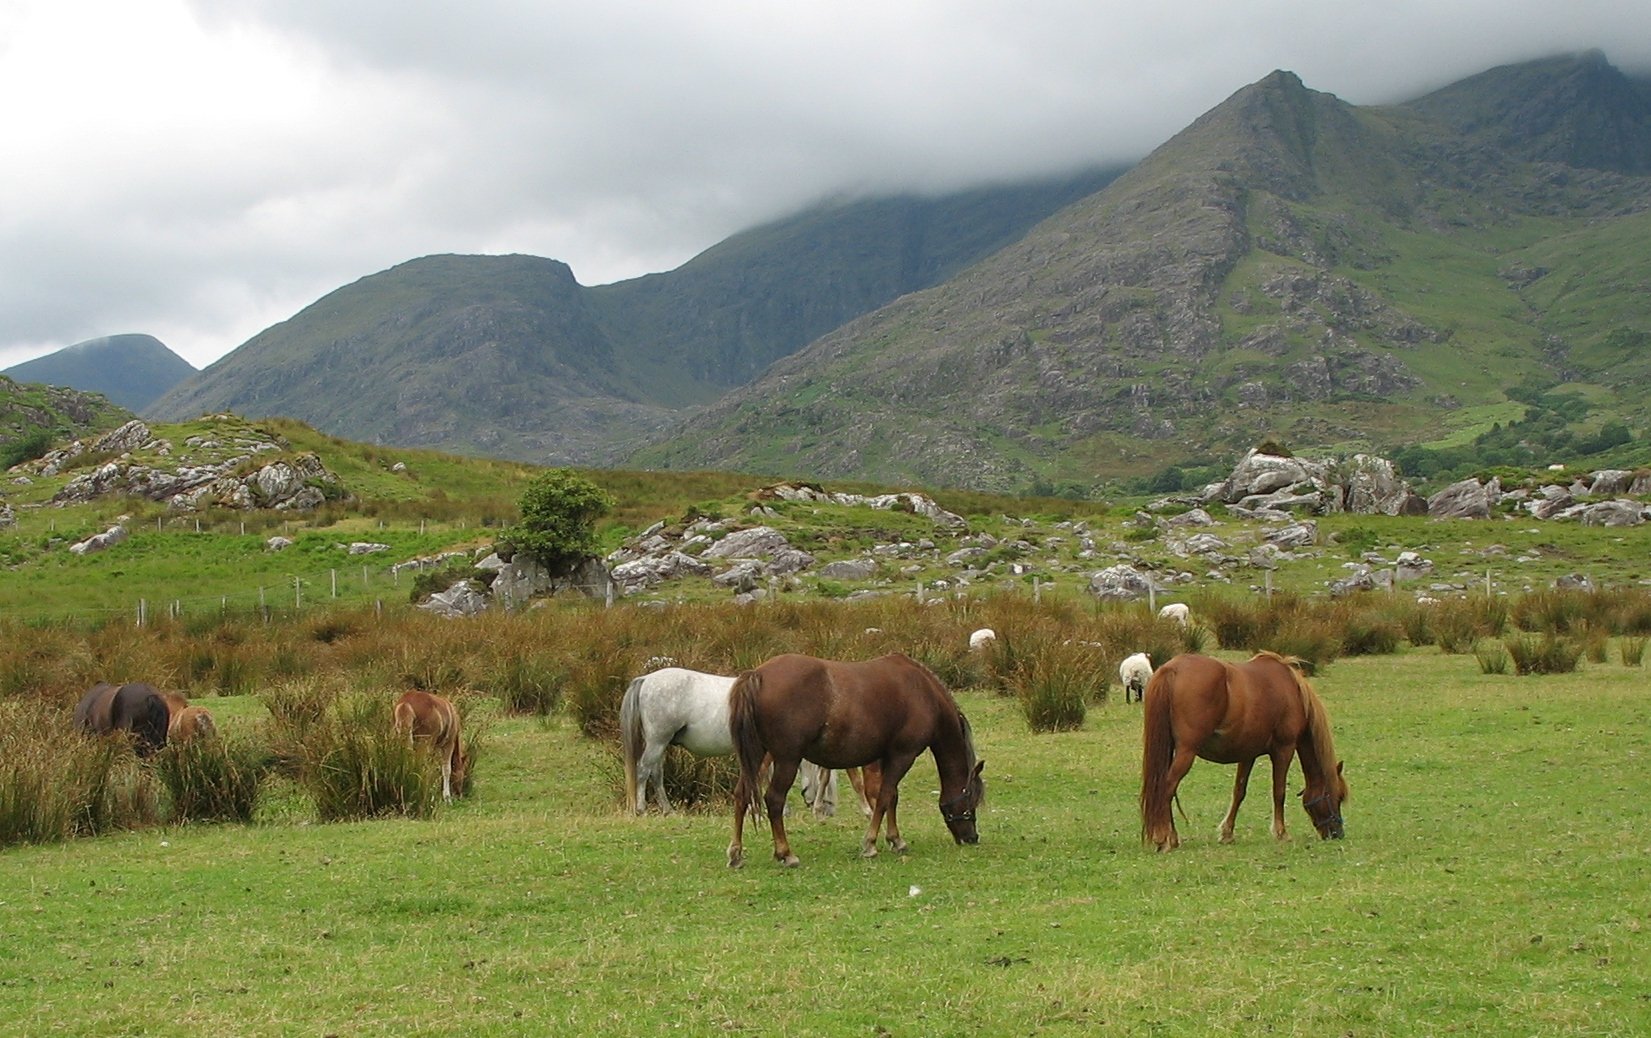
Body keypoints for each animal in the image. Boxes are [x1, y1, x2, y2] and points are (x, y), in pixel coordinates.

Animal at [729, 656, 983, 864]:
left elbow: (892, 797)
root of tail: (757, 675)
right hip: (786, 760)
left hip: (758, 757)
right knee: (774, 800)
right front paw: (870, 844)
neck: (923, 693)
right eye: (972, 799)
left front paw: (895, 840)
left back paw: (736, 853)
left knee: (742, 794)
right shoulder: (903, 755)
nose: (972, 837)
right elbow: (885, 796)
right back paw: (786, 853)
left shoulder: (886, 757)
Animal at [1142, 646, 1347, 851]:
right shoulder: (1284, 749)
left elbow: (1239, 792)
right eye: (1337, 796)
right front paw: (1281, 833)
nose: (1337, 834)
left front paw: (1227, 834)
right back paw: (1165, 838)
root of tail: (1172, 668)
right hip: (1186, 752)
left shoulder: (1248, 754)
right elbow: (1279, 791)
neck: (1292, 691)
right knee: (1167, 788)